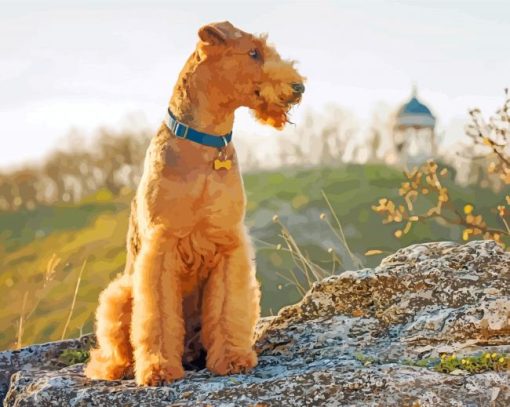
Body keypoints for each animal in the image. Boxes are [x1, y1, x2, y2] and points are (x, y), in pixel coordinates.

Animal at [85, 20, 304, 388]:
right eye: (253, 52)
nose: (299, 86)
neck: (206, 145)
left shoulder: (228, 244)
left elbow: (227, 309)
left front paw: (232, 359)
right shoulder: (161, 247)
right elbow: (158, 316)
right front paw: (159, 368)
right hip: (120, 294)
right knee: (113, 347)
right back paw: (119, 367)